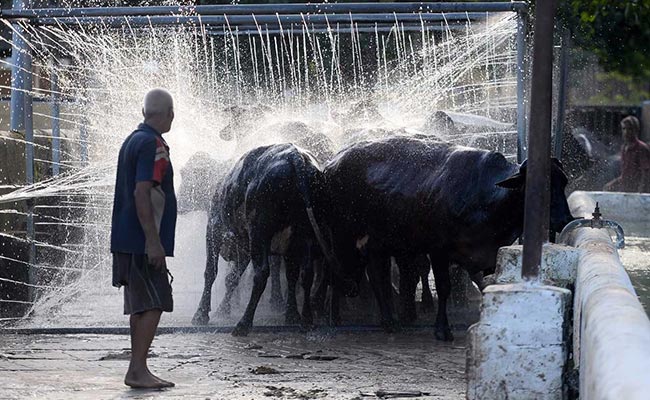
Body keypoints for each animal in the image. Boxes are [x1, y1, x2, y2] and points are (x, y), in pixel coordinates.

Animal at [324, 136, 572, 340]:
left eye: (564, 182)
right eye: (538, 187)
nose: (565, 218)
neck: (486, 197)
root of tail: (334, 161)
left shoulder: (489, 255)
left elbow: (486, 285)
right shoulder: (439, 251)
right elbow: (444, 287)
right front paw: (442, 329)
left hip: (378, 244)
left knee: (377, 277)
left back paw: (389, 321)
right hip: (343, 237)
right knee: (338, 272)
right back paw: (334, 318)